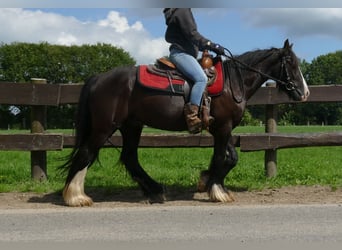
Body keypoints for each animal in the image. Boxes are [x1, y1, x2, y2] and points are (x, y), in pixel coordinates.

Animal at [61, 39, 310, 207]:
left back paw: (155, 190)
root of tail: (98, 78)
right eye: (291, 63)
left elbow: (230, 157)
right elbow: (221, 157)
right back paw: (76, 196)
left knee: (129, 158)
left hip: (132, 126)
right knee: (86, 153)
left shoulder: (221, 128)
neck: (233, 83)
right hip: (104, 127)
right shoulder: (223, 127)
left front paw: (206, 180)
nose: (305, 93)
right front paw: (217, 191)